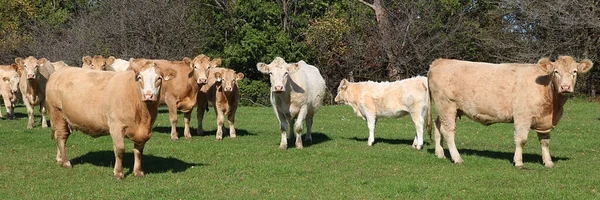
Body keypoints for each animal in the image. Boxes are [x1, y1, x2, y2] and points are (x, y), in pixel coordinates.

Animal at [45, 58, 176, 180]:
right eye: (139, 77)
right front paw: (118, 173)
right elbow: (120, 150)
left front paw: (138, 172)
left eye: (159, 78)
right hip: (57, 113)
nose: (148, 95)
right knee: (61, 136)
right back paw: (66, 162)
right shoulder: (116, 126)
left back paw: (60, 159)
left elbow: (139, 151)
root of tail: (59, 72)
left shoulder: (144, 131)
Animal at [428, 55, 592, 168]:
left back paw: (440, 153)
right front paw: (518, 162)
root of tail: (440, 61)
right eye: (556, 72)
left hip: (448, 109)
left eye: (575, 72)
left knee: (438, 126)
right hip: (447, 105)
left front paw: (548, 162)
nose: (565, 87)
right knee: (448, 131)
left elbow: (545, 142)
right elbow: (521, 140)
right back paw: (457, 158)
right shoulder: (522, 116)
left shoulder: (544, 120)